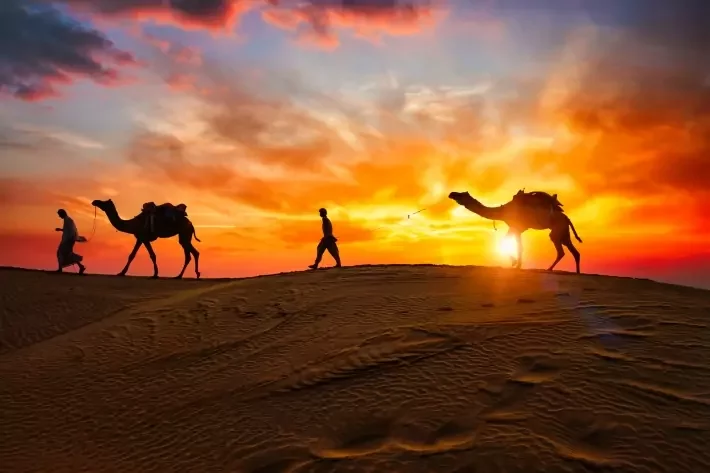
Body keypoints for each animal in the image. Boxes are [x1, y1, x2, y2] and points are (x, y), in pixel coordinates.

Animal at [450, 190, 584, 272]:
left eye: (461, 194)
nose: (452, 193)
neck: (503, 211)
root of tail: (567, 219)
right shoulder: (516, 229)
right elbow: (518, 246)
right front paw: (517, 265)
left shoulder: (515, 227)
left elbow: (510, 244)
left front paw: (515, 264)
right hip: (564, 233)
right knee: (574, 252)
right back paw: (576, 273)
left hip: (557, 231)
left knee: (562, 251)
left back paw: (549, 269)